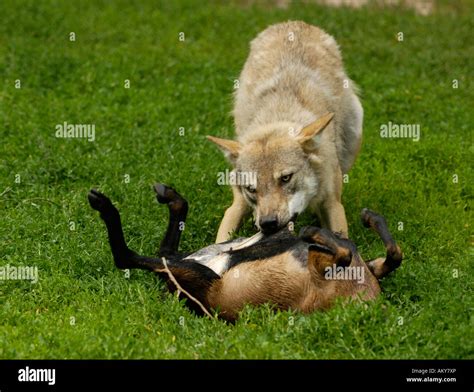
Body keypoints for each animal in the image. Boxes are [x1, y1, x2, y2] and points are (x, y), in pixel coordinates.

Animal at [208, 21, 362, 243]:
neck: (278, 116)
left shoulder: (333, 204)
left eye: (286, 178)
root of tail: (295, 22)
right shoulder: (236, 205)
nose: (268, 223)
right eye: (251, 189)